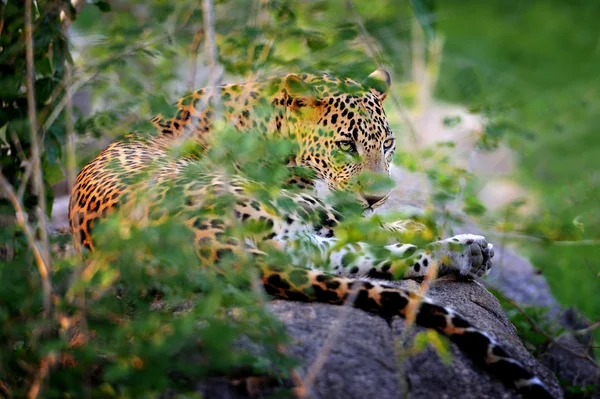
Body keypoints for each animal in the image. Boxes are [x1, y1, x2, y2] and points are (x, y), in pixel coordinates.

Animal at [69, 70, 552, 398]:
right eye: (345, 146)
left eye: (388, 144)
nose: (377, 196)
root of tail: (197, 240)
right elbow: (373, 223)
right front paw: (409, 217)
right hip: (289, 209)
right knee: (364, 242)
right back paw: (464, 247)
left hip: (292, 239)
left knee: (355, 257)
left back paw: (466, 254)